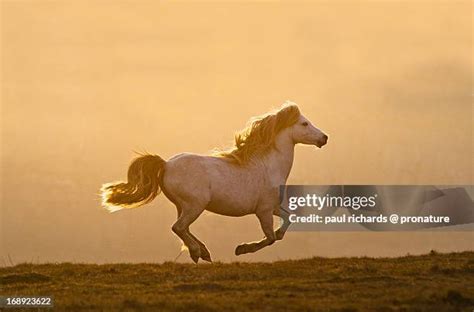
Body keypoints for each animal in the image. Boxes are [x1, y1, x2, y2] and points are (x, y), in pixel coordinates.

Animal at [102, 102, 328, 260]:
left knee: (183, 228)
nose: (324, 138)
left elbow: (287, 221)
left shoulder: (272, 207)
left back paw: (202, 251)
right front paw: (242, 249)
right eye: (304, 123)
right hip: (195, 205)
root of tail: (166, 164)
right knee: (178, 227)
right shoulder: (263, 211)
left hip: (183, 206)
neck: (269, 167)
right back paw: (198, 252)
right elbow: (271, 237)